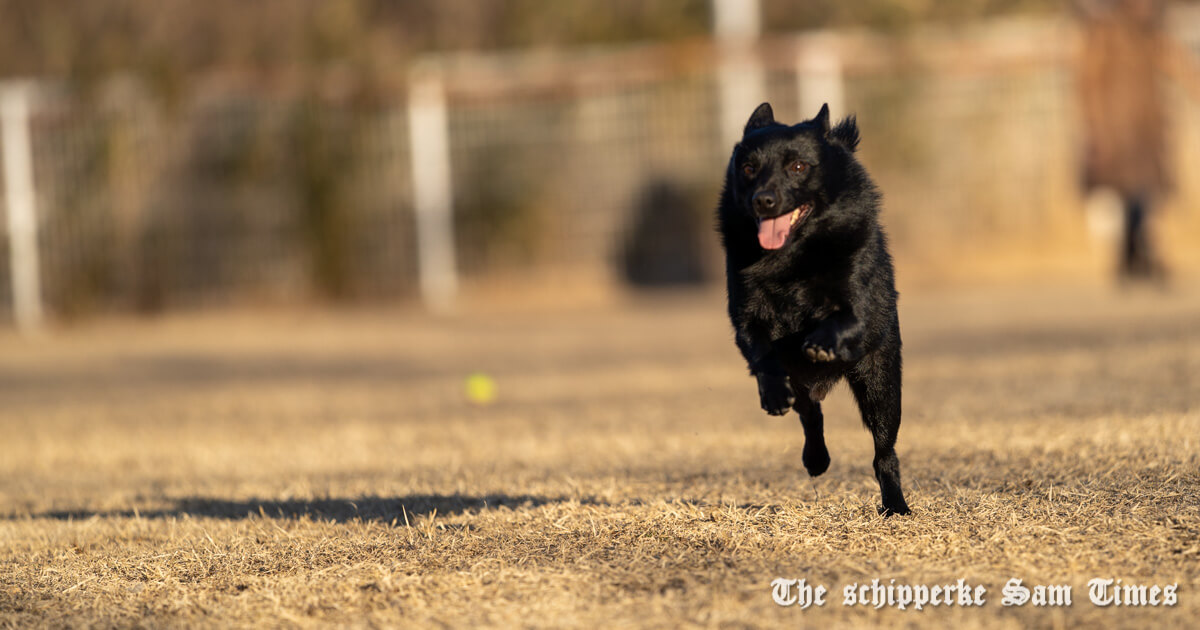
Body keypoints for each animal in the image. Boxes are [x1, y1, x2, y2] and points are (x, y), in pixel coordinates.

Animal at [720, 103, 907, 516]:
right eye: (749, 168)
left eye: (798, 166)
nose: (763, 200)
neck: (793, 257)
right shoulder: (747, 318)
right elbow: (763, 354)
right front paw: (773, 393)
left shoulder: (859, 304)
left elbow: (844, 317)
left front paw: (821, 341)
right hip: (807, 385)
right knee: (811, 413)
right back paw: (816, 459)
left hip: (881, 386)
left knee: (884, 452)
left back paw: (895, 505)